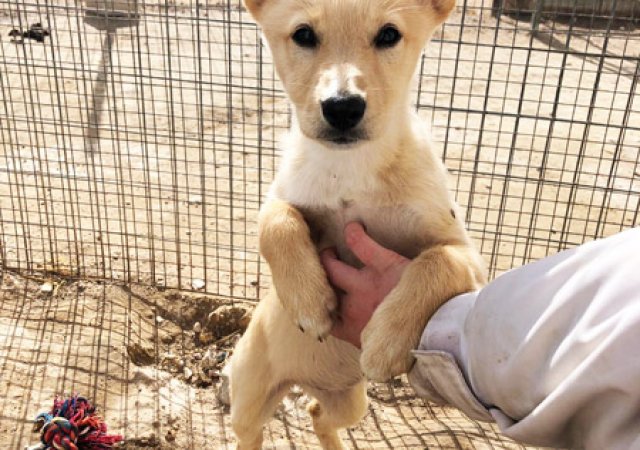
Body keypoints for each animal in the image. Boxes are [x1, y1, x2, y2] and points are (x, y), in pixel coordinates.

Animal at [228, 1, 486, 448]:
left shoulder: (466, 252)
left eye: (388, 35)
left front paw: (388, 341)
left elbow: (438, 262)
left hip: (351, 401)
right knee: (250, 433)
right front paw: (309, 302)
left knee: (317, 415)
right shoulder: (280, 195)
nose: (342, 107)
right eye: (303, 34)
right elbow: (275, 223)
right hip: (249, 398)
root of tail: (303, 382)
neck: (349, 168)